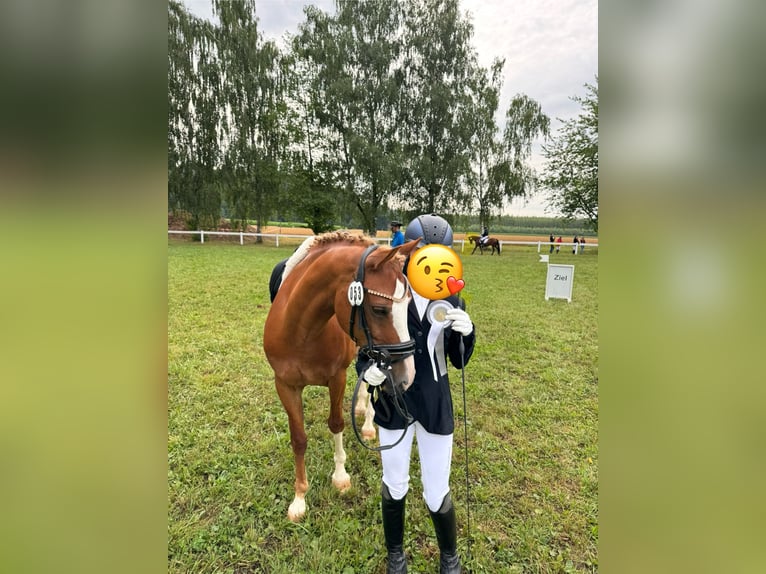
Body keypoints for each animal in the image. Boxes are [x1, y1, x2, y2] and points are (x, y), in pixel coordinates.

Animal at [263, 231, 421, 522]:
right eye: (380, 309)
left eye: (407, 306)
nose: (408, 375)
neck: (301, 331)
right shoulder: (285, 385)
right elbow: (298, 438)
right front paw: (299, 498)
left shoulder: (336, 378)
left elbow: (336, 424)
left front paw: (340, 477)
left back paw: (367, 424)